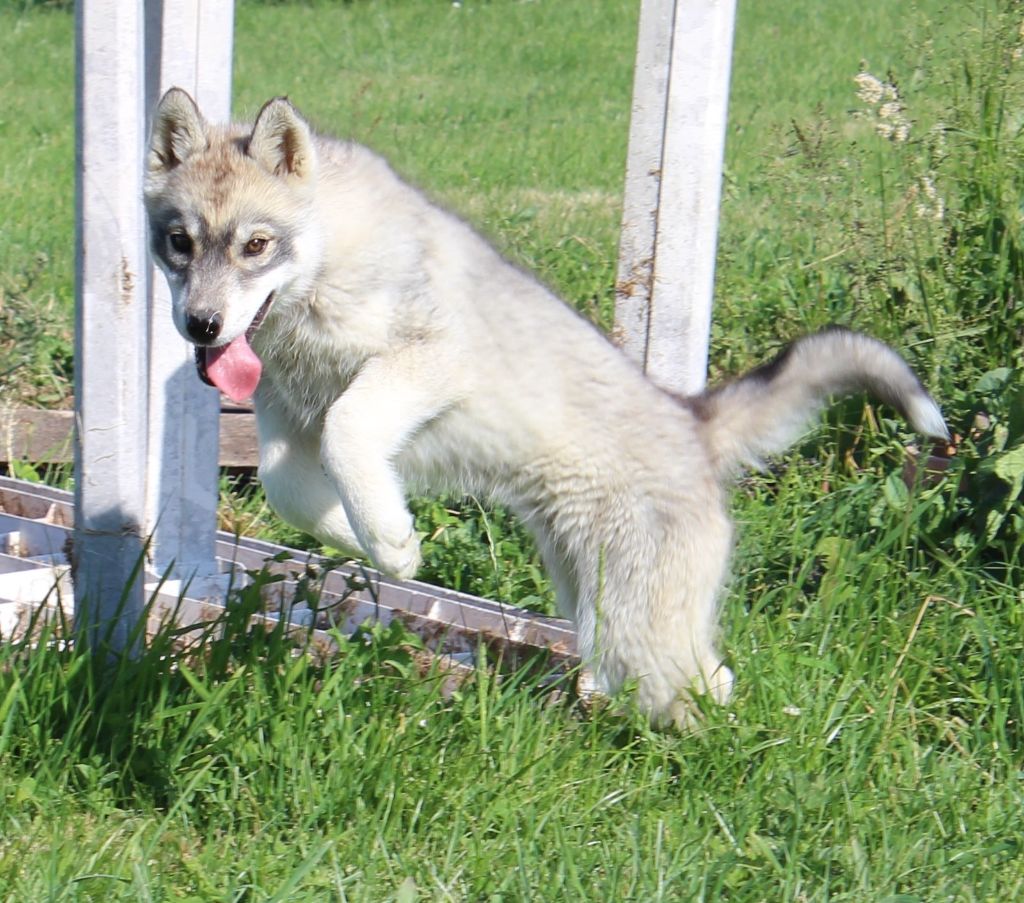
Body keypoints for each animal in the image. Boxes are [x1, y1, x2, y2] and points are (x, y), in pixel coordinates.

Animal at [142, 89, 942, 724]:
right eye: (179, 242)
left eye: (256, 244)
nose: (202, 327)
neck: (325, 263)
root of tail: (694, 422)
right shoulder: (286, 414)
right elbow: (293, 491)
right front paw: (367, 533)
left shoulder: (432, 360)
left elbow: (350, 429)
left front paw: (394, 540)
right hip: (595, 599)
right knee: (695, 675)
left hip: (639, 629)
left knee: (706, 690)